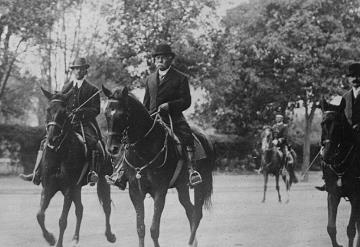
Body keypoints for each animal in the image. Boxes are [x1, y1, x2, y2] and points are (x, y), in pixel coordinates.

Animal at [33, 88, 115, 247]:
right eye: (48, 109)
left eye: (64, 112)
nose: (52, 139)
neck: (59, 153)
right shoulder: (49, 187)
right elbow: (40, 215)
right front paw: (50, 238)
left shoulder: (68, 189)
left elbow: (62, 220)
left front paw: (57, 242)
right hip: (77, 187)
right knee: (80, 210)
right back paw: (75, 238)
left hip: (101, 179)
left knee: (106, 207)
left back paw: (110, 235)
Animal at [103, 85, 217, 247]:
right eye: (106, 114)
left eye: (124, 115)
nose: (112, 148)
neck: (144, 148)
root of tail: (206, 137)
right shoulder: (135, 191)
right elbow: (140, 228)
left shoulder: (160, 191)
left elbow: (154, 229)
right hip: (182, 187)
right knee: (190, 210)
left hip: (201, 184)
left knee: (197, 213)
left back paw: (190, 242)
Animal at [320, 99, 360, 247]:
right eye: (322, 123)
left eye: (338, 125)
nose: (326, 155)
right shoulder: (333, 194)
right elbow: (331, 228)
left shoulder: (356, 196)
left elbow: (351, 229)